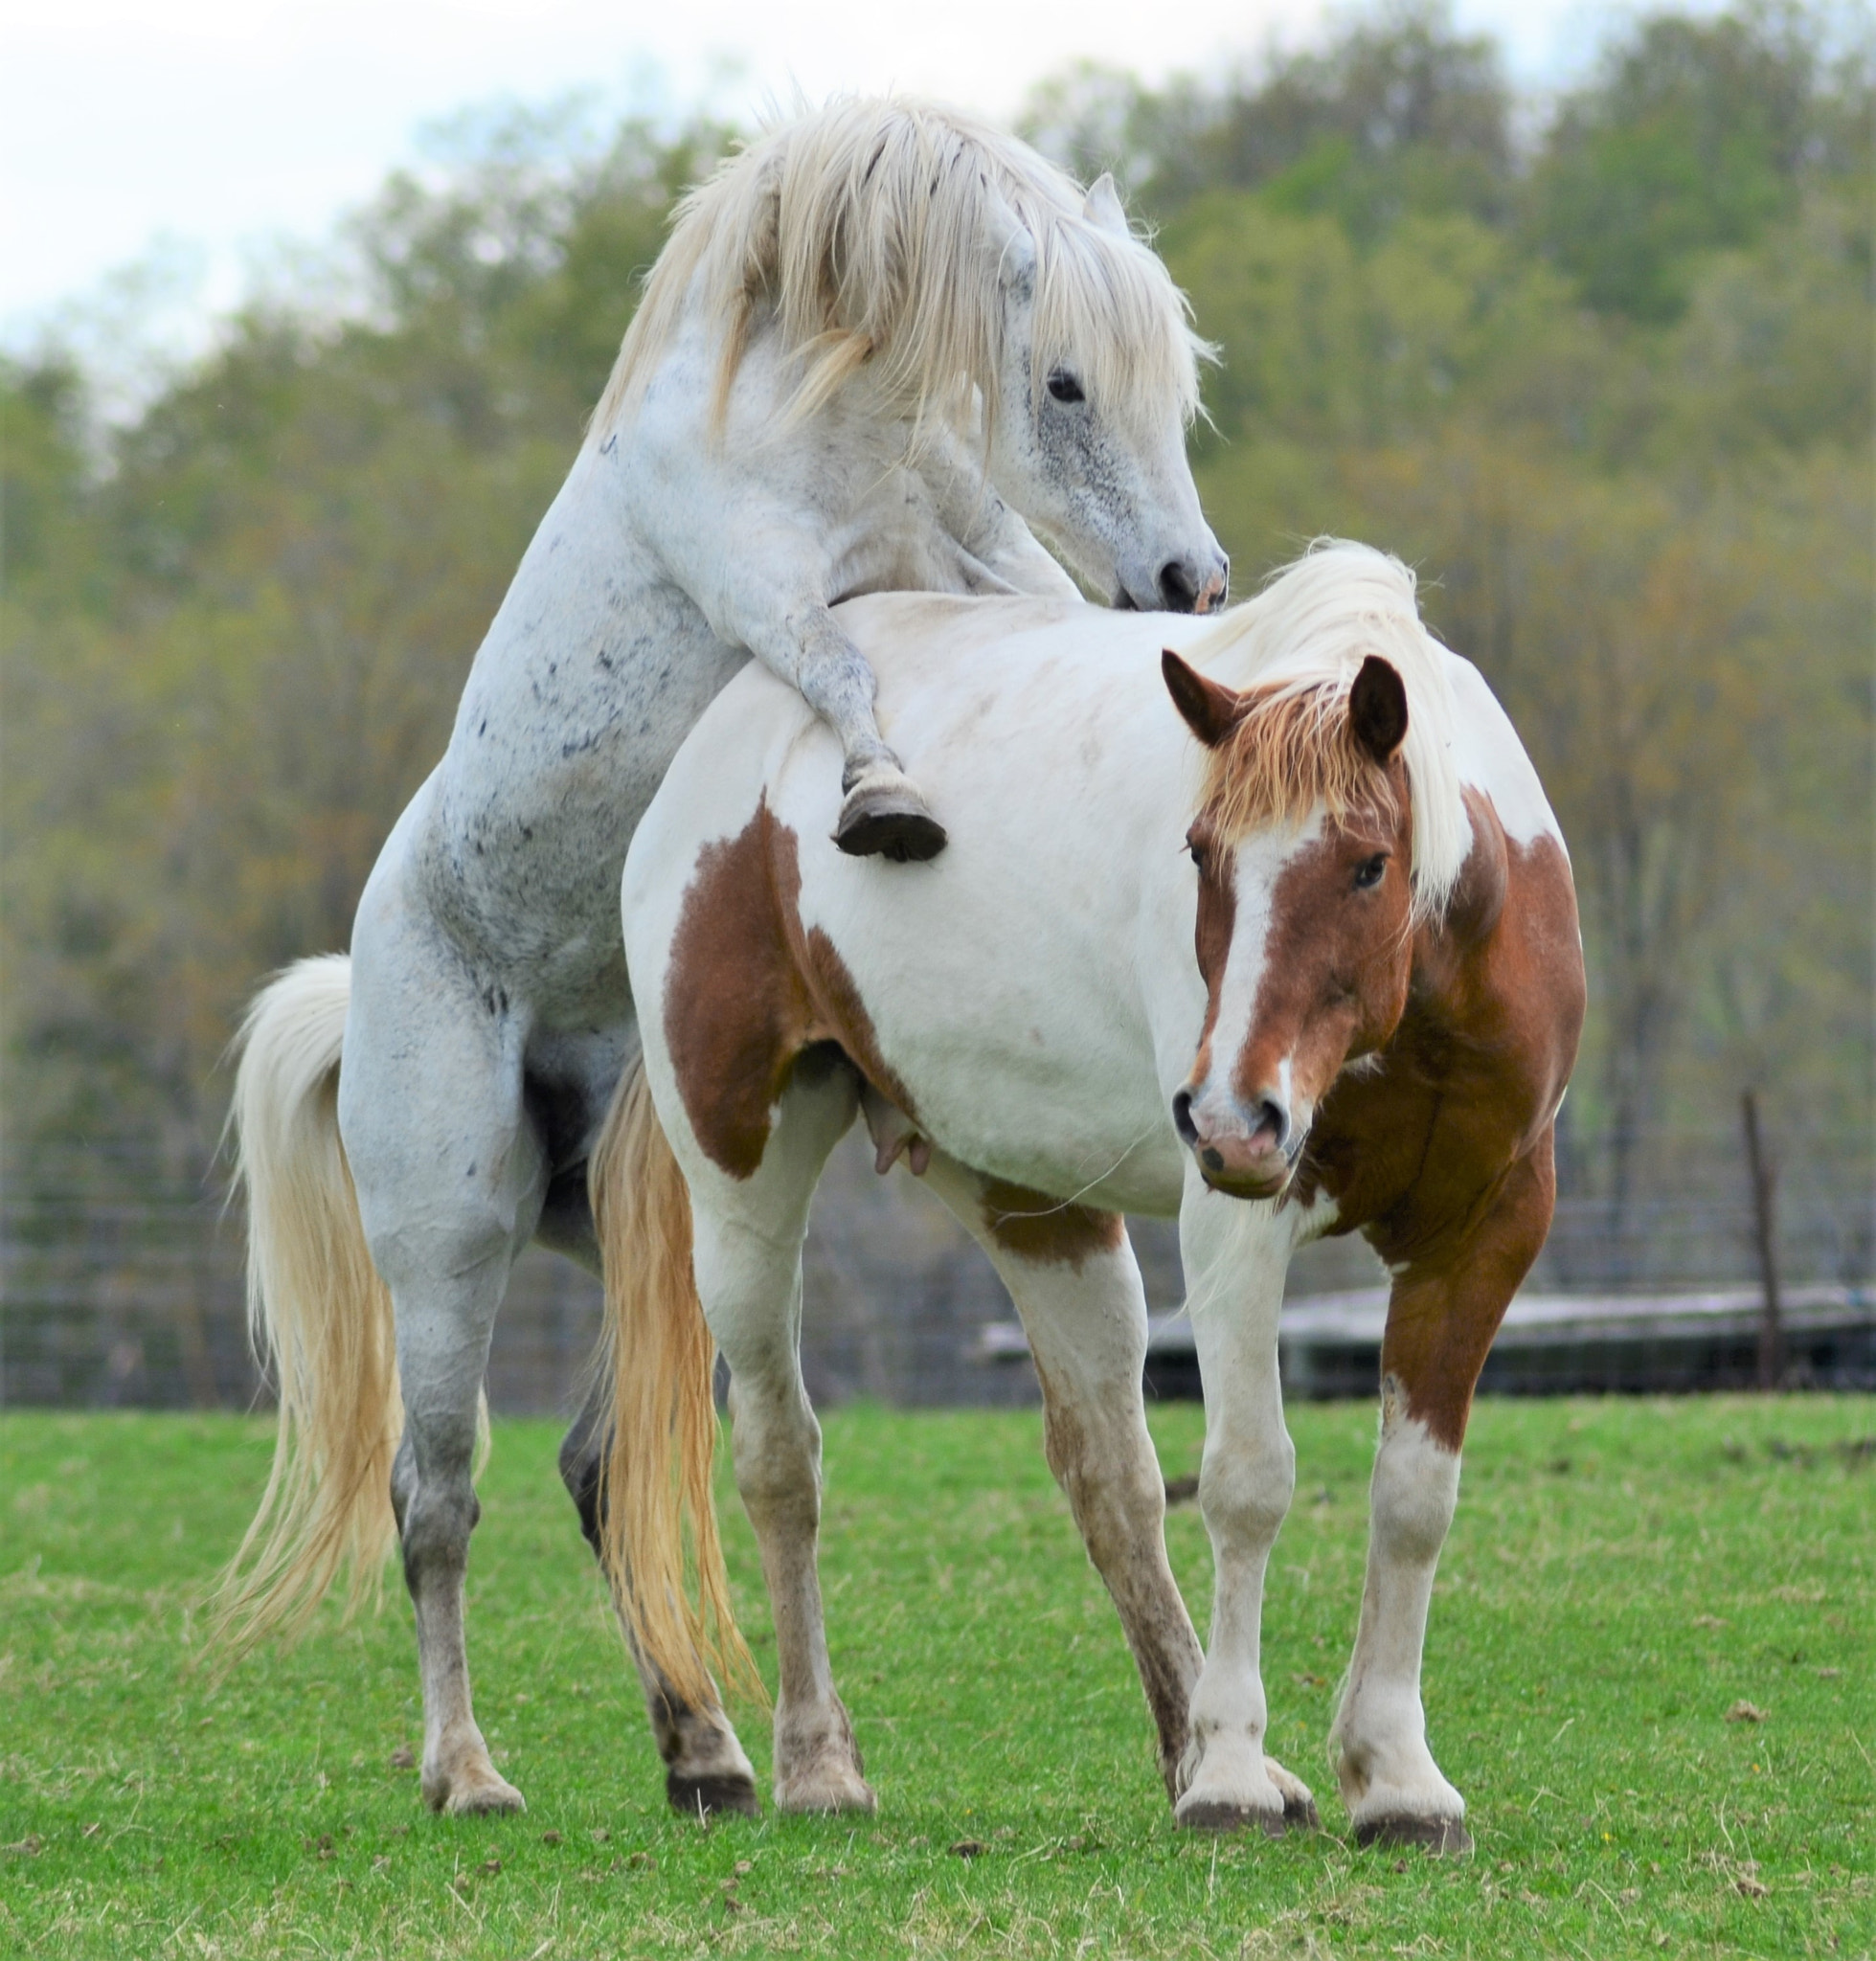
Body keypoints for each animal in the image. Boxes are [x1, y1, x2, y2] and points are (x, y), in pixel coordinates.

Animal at [219, 99, 1223, 1819]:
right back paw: (467, 1771)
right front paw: (882, 800)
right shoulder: (775, 591)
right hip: (450, 1245)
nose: (1189, 582)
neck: (804, 405)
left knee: (598, 1466)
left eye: (1175, 381)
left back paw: (705, 1753)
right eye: (1063, 383)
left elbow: (1009, 605)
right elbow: (831, 665)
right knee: (435, 1496)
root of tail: (369, 982)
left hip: (654, 1221)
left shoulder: (959, 554)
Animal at [592, 545, 1575, 1843]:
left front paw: (1396, 1776)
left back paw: (1192, 1745)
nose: (1233, 1112)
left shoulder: (1483, 1233)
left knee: (1109, 1473)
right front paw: (1232, 1769)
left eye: (1369, 864)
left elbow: (1412, 1497)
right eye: (1201, 853)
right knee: (778, 1460)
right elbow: (1249, 1481)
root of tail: (733, 733)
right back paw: (818, 1761)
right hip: (742, 1189)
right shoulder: (1236, 1225)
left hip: (1036, 1207)